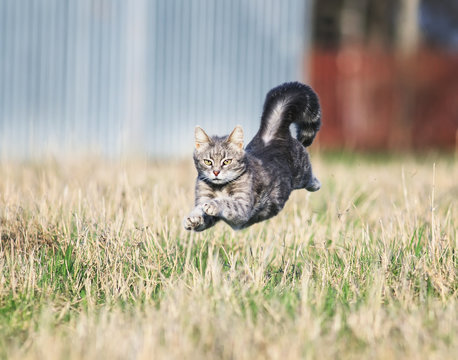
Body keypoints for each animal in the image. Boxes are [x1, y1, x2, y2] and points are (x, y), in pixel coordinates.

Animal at [183, 82, 322, 232]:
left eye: (227, 161)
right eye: (208, 162)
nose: (216, 172)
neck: (219, 187)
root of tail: (271, 135)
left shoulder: (242, 208)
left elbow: (226, 202)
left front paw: (213, 204)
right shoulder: (204, 201)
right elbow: (200, 211)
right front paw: (193, 218)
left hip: (302, 173)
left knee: (310, 178)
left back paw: (316, 184)